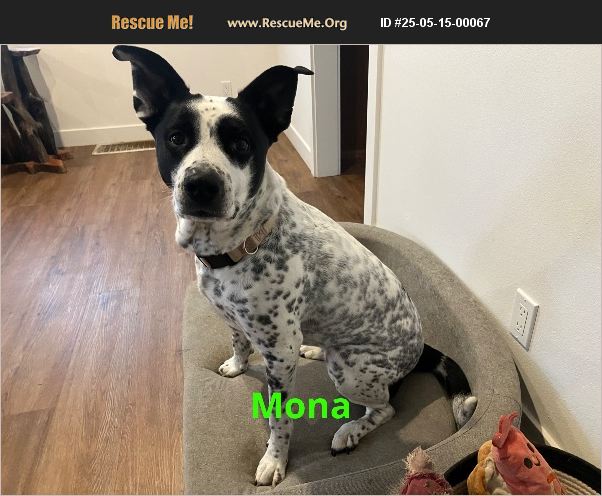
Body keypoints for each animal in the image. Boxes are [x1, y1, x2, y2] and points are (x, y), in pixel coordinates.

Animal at [114, 45, 477, 486]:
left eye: (241, 143)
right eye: (176, 138)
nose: (201, 185)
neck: (242, 245)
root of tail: (422, 348)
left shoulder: (279, 354)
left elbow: (280, 419)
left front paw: (275, 461)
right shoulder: (233, 320)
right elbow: (239, 344)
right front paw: (237, 365)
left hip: (351, 372)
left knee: (386, 407)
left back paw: (349, 431)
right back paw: (315, 348)